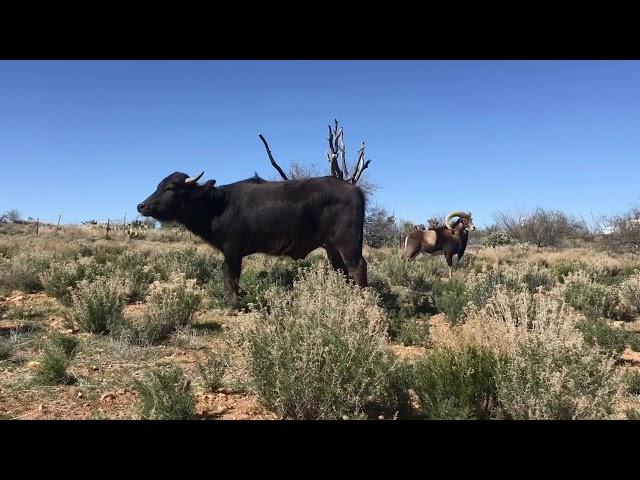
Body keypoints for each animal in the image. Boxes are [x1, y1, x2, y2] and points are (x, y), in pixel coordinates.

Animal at [138, 171, 368, 302]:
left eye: (170, 187)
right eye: (159, 185)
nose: (141, 206)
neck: (217, 205)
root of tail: (354, 189)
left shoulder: (232, 252)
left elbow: (230, 277)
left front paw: (233, 303)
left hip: (348, 244)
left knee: (358, 267)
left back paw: (361, 299)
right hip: (332, 247)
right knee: (342, 270)